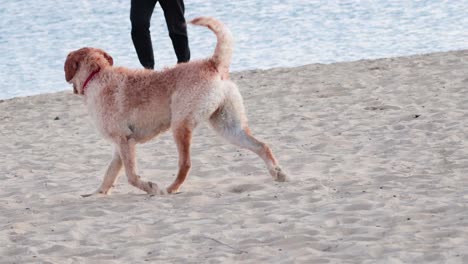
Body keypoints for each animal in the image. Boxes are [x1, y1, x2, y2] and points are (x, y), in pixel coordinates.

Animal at [64, 16, 288, 196]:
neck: (98, 75)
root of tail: (212, 63)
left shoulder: (124, 140)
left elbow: (131, 176)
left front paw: (151, 188)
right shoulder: (121, 145)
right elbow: (110, 173)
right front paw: (97, 193)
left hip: (180, 125)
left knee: (185, 164)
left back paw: (170, 189)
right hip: (229, 126)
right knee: (261, 145)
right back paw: (278, 173)